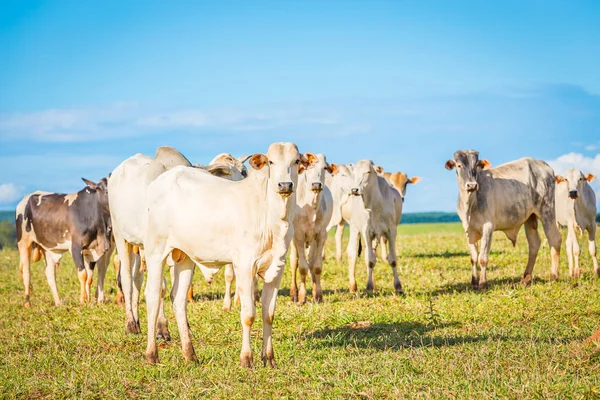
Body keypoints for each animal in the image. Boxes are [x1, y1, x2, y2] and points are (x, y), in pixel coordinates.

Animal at [17, 180, 113, 308]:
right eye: (107, 191)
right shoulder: (76, 247)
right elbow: (83, 274)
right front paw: (82, 300)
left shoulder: (92, 250)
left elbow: (90, 277)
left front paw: (88, 300)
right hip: (24, 241)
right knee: (26, 272)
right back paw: (27, 303)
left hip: (48, 248)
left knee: (50, 274)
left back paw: (58, 303)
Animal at [143, 142, 308, 368]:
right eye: (271, 162)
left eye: (296, 161)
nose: (285, 185)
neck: (273, 216)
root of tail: (160, 181)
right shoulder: (245, 266)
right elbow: (248, 315)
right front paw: (246, 359)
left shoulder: (277, 267)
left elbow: (269, 314)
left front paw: (269, 358)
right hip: (155, 251)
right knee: (152, 297)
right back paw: (152, 354)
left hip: (184, 257)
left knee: (178, 300)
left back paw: (190, 354)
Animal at [288, 153, 336, 304]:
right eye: (308, 168)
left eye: (325, 167)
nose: (316, 184)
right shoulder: (298, 235)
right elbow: (302, 268)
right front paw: (302, 297)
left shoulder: (321, 235)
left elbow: (317, 266)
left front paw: (318, 295)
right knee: (294, 262)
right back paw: (294, 293)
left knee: (312, 260)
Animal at [346, 161, 404, 296]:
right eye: (354, 172)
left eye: (368, 171)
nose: (354, 190)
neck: (375, 205)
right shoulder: (366, 231)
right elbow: (370, 261)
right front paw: (368, 287)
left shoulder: (391, 231)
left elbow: (392, 259)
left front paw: (398, 287)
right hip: (354, 228)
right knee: (353, 253)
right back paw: (353, 286)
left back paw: (374, 286)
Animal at [446, 150, 564, 288]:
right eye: (459, 165)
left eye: (476, 165)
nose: (472, 185)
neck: (470, 204)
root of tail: (545, 165)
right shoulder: (468, 229)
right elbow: (473, 257)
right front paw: (474, 282)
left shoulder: (488, 227)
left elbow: (482, 258)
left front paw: (482, 283)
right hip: (530, 218)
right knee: (534, 244)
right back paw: (526, 278)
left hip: (547, 211)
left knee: (554, 239)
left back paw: (553, 276)